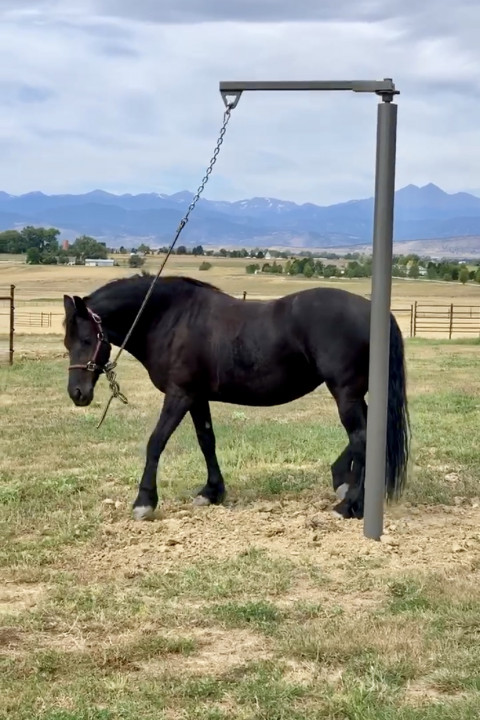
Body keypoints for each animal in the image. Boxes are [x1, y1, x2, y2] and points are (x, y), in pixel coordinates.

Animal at [62, 274, 410, 516]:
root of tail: (375, 313)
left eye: (86, 339)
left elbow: (155, 442)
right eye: (67, 342)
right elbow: (207, 441)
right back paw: (344, 483)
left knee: (362, 439)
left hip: (345, 393)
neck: (172, 318)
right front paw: (211, 492)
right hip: (354, 395)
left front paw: (144, 501)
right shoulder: (197, 398)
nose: (77, 393)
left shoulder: (179, 396)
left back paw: (350, 505)